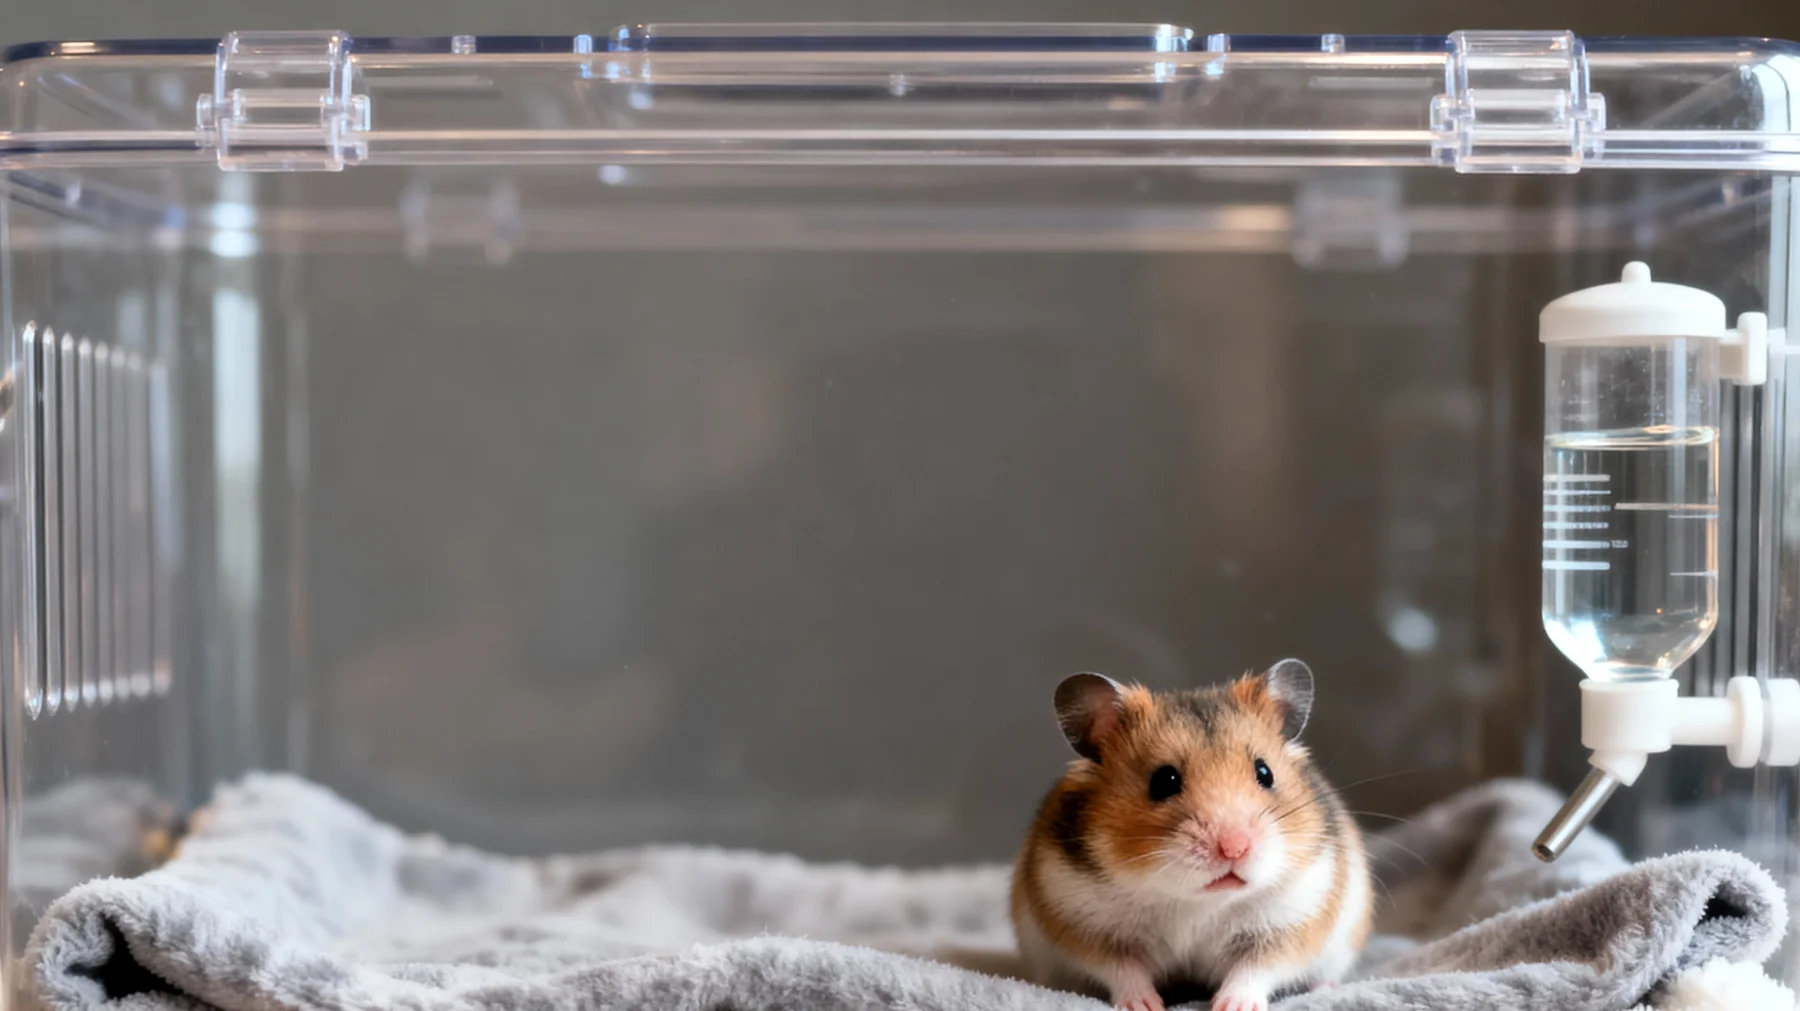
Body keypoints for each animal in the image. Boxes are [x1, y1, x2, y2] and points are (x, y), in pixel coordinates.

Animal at [1010, 660, 1371, 1011]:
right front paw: (1145, 1005)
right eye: (1163, 781)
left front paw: (1231, 1006)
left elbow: (1256, 968)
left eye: (1264, 772)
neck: (1194, 902)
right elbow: (1122, 969)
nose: (1235, 849)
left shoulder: (1292, 920)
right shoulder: (1085, 924)